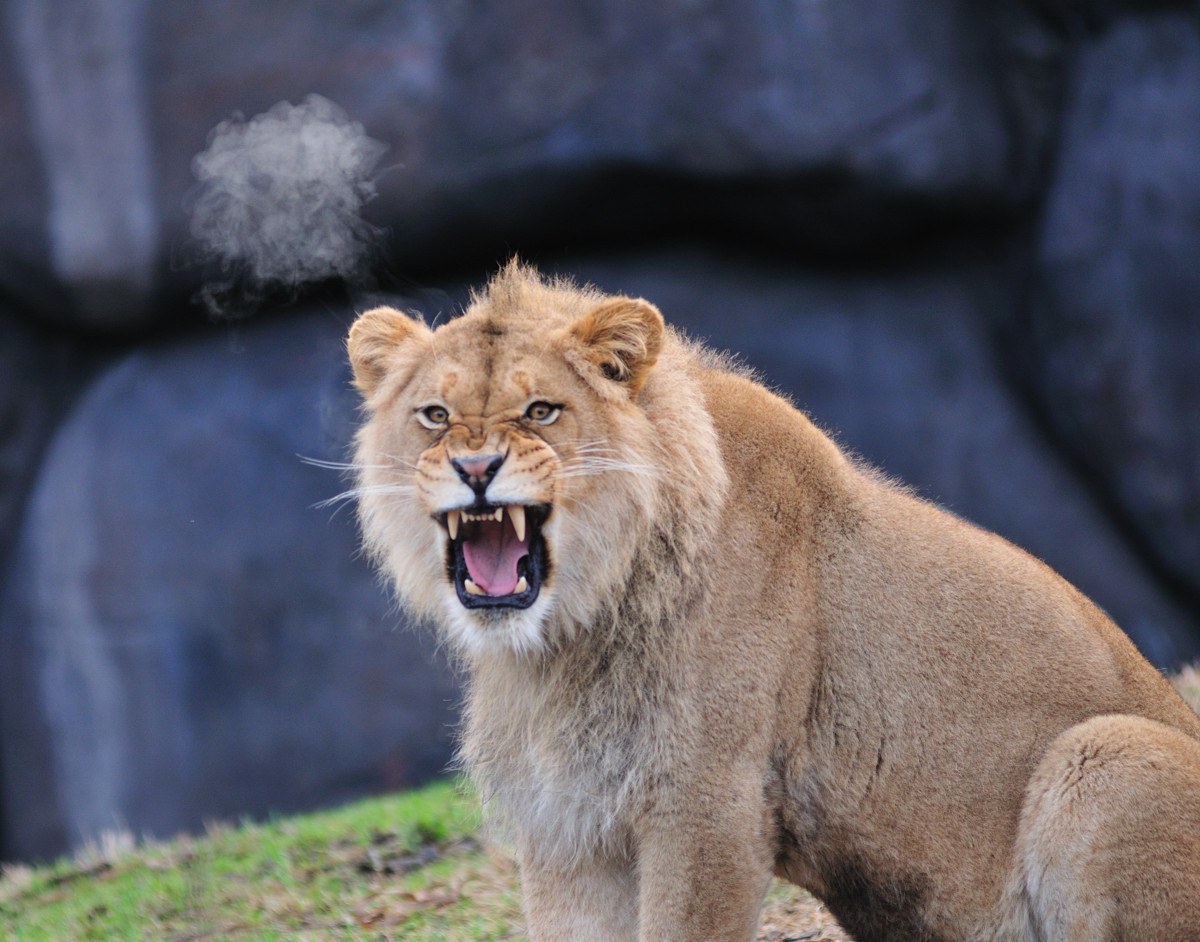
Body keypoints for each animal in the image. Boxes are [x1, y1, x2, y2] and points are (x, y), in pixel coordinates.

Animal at [347, 261, 1200, 941]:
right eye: (434, 415)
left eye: (541, 411)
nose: (476, 469)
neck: (574, 631)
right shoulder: (570, 824)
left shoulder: (708, 799)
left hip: (1106, 756)